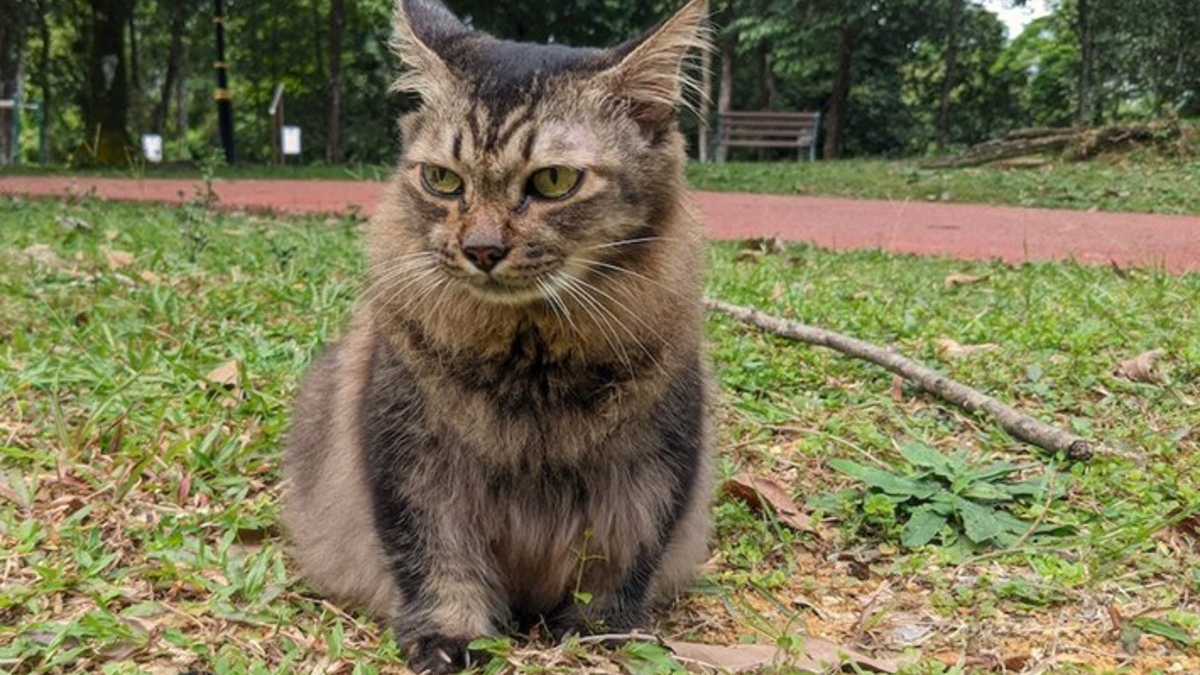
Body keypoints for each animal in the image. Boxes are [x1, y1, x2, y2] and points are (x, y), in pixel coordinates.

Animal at [280, 0, 710, 667]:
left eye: (554, 182)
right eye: (442, 180)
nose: (481, 250)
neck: (529, 358)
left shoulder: (653, 466)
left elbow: (622, 565)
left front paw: (604, 634)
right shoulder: (412, 461)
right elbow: (437, 561)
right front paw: (449, 637)